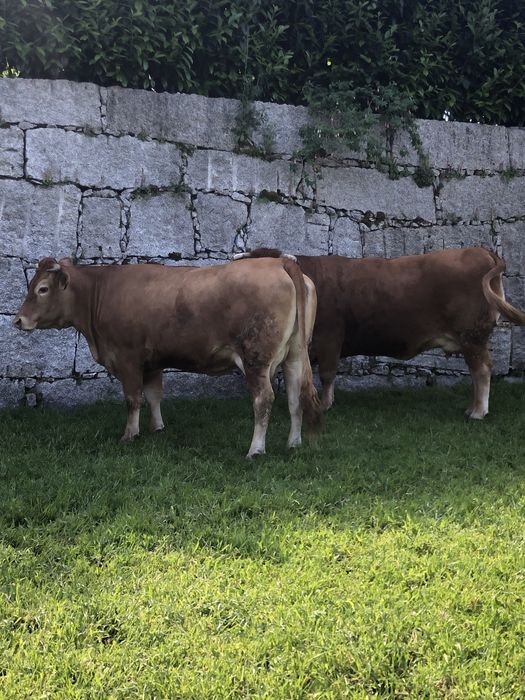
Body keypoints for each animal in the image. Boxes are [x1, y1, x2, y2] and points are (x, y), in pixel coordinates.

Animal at [14, 256, 321, 457]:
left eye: (42, 289)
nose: (18, 320)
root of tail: (278, 262)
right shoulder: (153, 361)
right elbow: (154, 395)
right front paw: (157, 427)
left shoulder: (127, 357)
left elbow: (133, 398)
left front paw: (130, 434)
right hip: (295, 355)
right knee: (295, 398)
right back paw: (294, 443)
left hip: (256, 359)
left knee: (264, 399)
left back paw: (256, 449)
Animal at [236, 247, 525, 419]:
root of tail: (479, 250)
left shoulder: (330, 338)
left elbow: (328, 374)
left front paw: (326, 404)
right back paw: (472, 407)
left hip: (472, 337)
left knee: (482, 371)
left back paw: (478, 411)